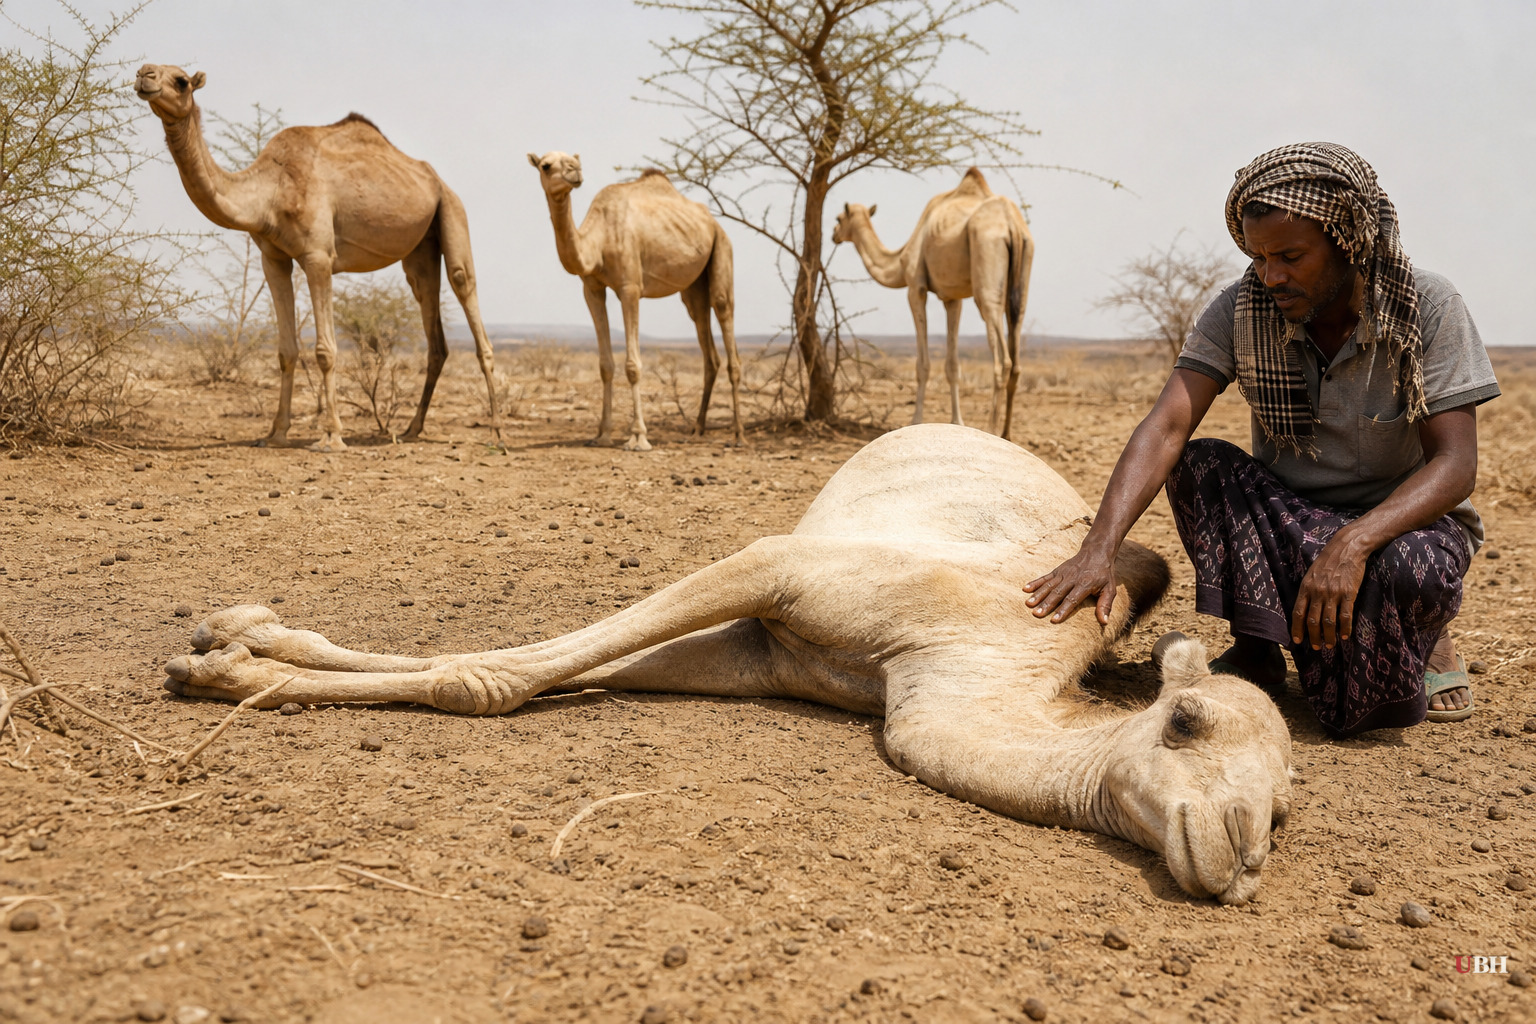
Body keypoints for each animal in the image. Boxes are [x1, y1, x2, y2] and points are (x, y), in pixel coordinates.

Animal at [134, 64, 501, 451]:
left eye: (181, 81)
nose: (144, 74)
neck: (269, 190)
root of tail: (436, 178)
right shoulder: (273, 257)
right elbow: (286, 350)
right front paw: (275, 434)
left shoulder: (318, 256)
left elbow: (326, 350)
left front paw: (331, 436)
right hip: (421, 247)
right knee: (431, 318)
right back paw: (411, 429)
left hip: (452, 208)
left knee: (463, 283)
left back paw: (495, 430)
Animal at [164, 424, 1292, 904]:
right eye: (1186, 721)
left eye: (1281, 815)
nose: (1238, 854)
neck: (976, 660)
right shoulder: (785, 575)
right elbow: (501, 673)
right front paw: (228, 655)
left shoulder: (755, 655)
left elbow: (532, 669)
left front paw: (237, 660)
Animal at [528, 152, 742, 451]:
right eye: (545, 166)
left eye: (572, 160)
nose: (575, 170)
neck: (598, 241)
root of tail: (713, 222)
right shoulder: (592, 288)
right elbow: (605, 365)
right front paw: (602, 434)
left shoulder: (630, 288)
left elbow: (633, 365)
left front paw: (638, 437)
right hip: (694, 285)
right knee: (707, 343)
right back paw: (697, 430)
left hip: (722, 247)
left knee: (725, 314)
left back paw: (739, 434)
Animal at [832, 168, 1034, 439]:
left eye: (838, 217)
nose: (833, 234)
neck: (900, 258)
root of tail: (1012, 224)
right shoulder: (952, 297)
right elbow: (952, 365)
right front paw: (957, 421)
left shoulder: (916, 287)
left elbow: (923, 364)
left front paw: (915, 420)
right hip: (1022, 281)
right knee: (1017, 345)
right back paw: (1006, 433)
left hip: (986, 267)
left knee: (1003, 358)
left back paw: (992, 429)